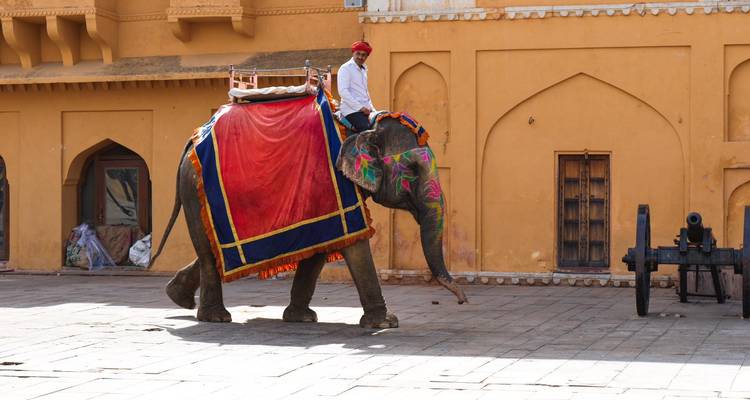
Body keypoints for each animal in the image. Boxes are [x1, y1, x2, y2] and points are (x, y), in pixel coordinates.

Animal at [151, 116, 467, 328]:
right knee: (208, 252)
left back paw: (178, 297)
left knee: (212, 253)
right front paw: (386, 323)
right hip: (195, 190)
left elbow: (321, 247)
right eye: (413, 169)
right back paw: (215, 317)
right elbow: (354, 245)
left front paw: (302, 318)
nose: (463, 300)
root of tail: (191, 141)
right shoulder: (336, 187)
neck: (361, 129)